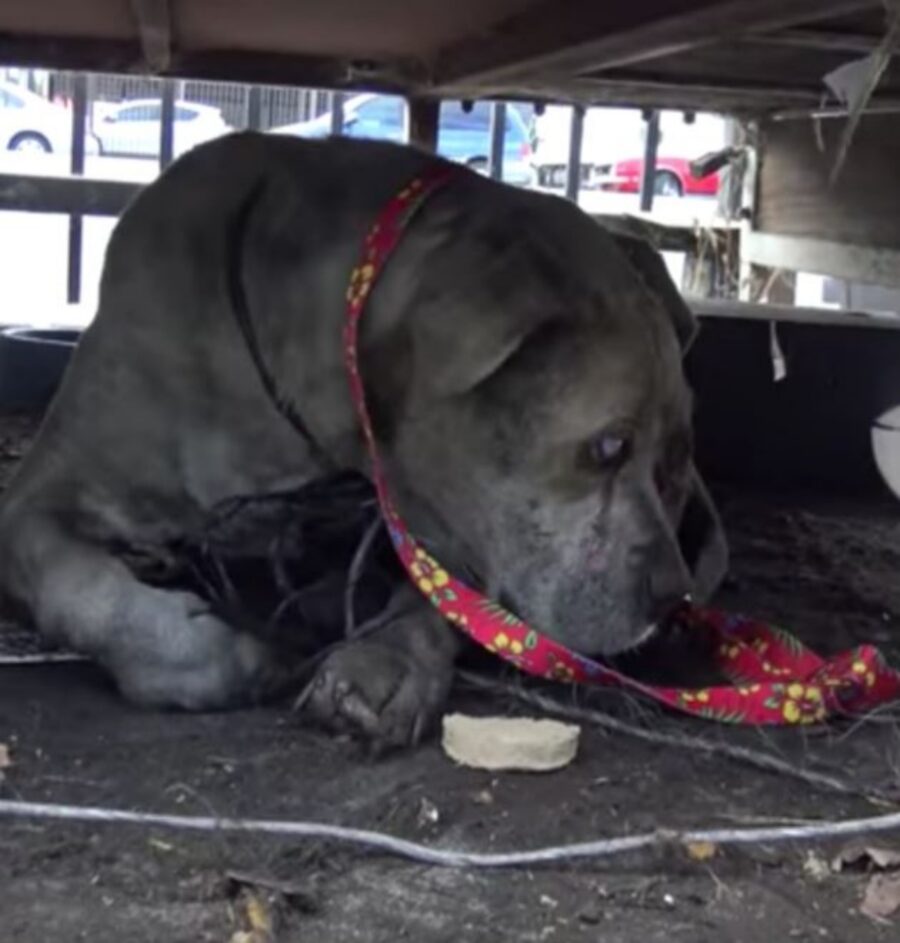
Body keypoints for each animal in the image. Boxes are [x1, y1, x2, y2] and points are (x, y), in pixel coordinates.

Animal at [0, 133, 724, 748]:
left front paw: (386, 660)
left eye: (672, 462)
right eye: (606, 447)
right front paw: (220, 654)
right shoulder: (43, 498)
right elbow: (77, 587)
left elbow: (437, 598)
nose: (671, 594)